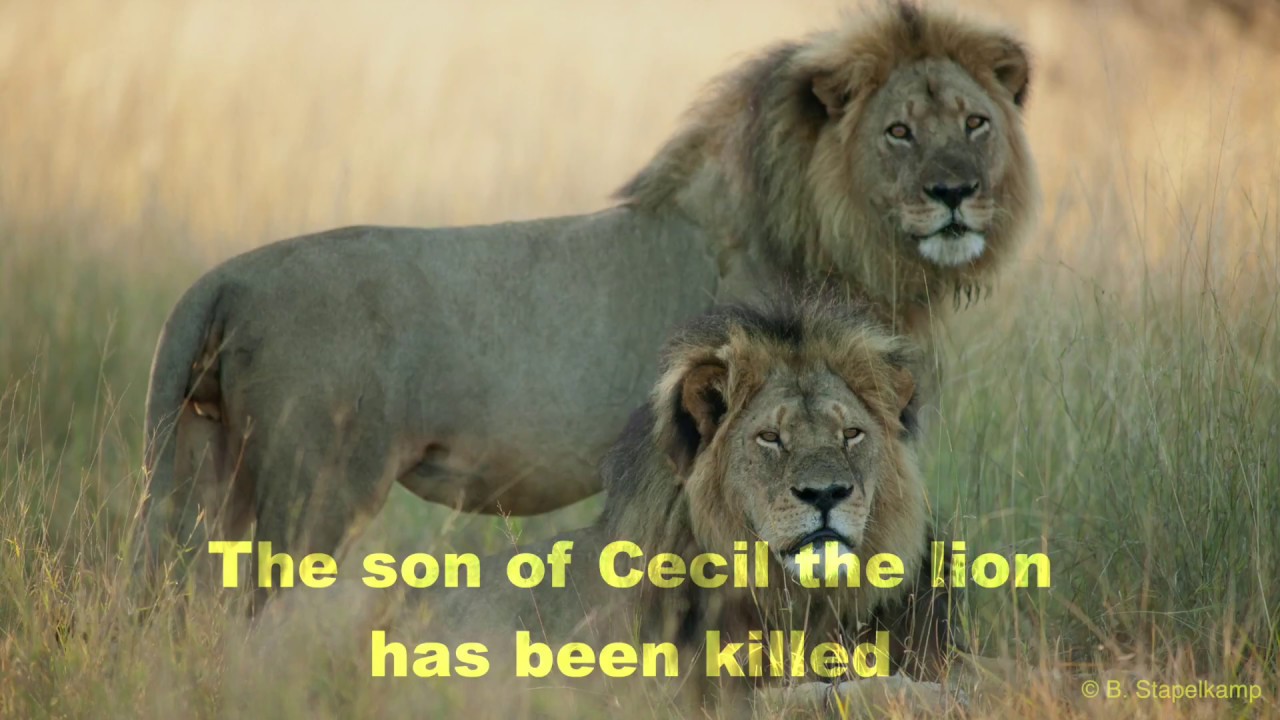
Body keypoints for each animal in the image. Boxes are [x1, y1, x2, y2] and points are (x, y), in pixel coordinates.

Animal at [138, 2, 1037, 606]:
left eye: (976, 123)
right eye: (899, 132)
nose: (955, 193)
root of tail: (222, 280)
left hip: (209, 468)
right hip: (317, 488)